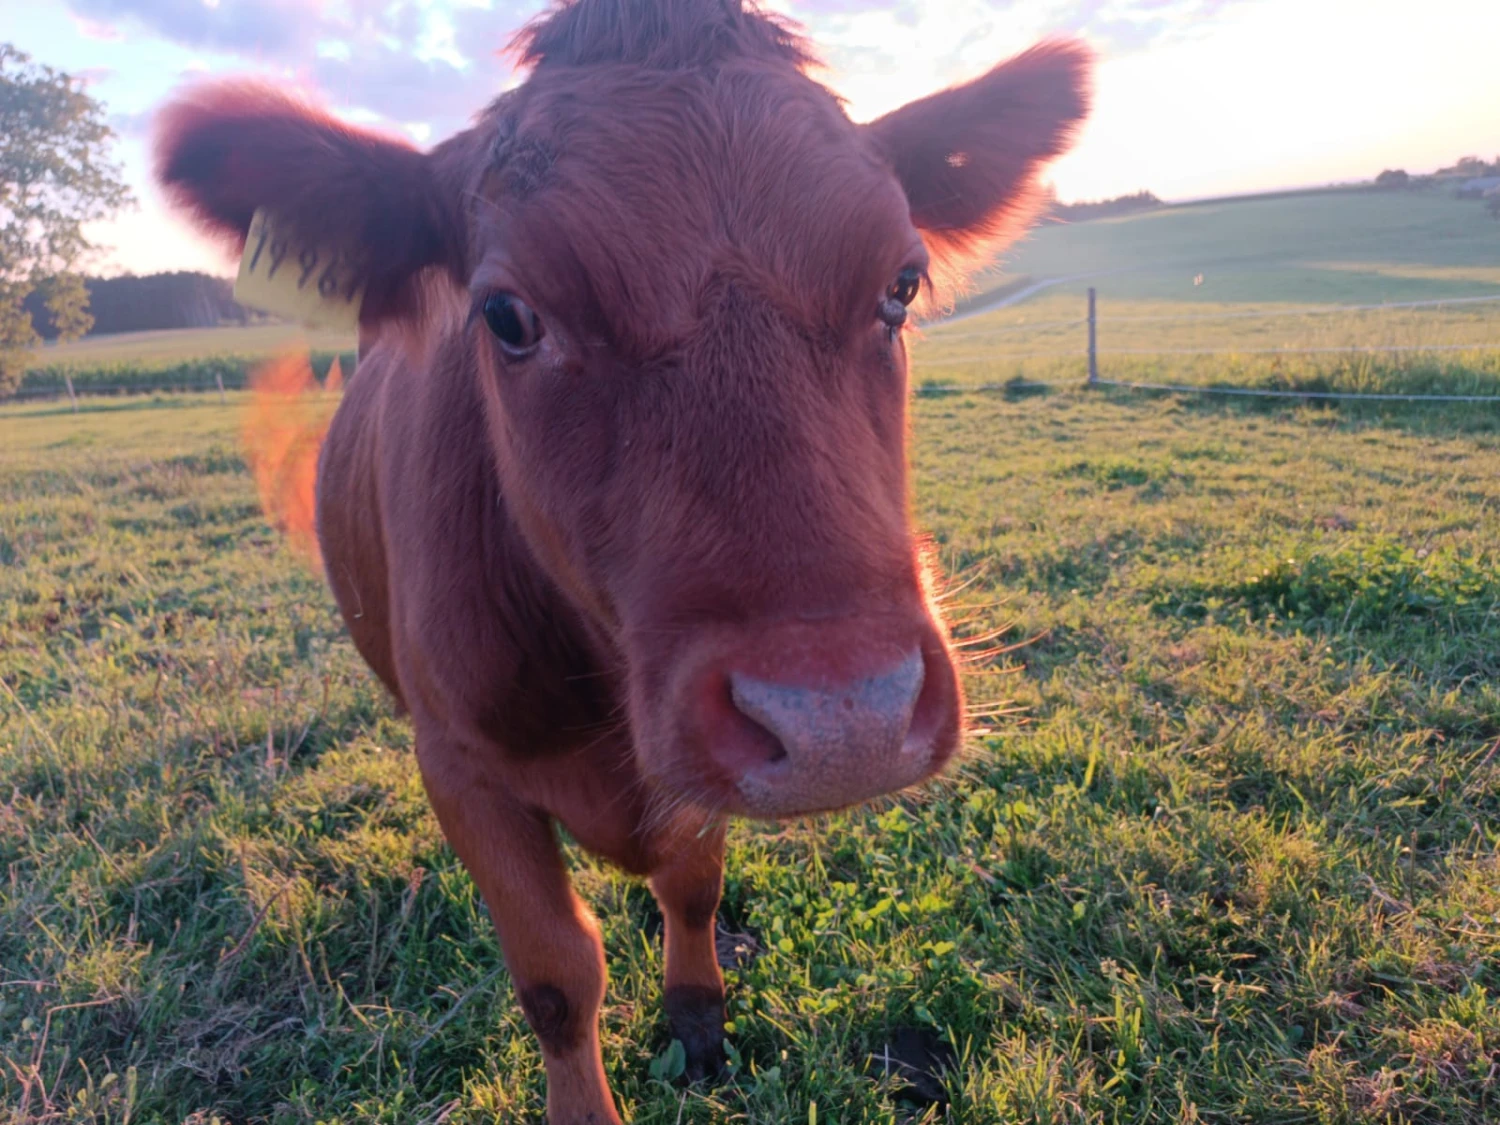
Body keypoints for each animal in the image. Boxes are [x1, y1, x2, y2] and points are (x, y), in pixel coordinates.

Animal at [155, 4, 1092, 1122]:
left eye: (901, 287)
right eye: (507, 315)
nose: (842, 722)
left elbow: (692, 883)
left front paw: (697, 1022)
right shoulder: (459, 763)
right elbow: (558, 975)